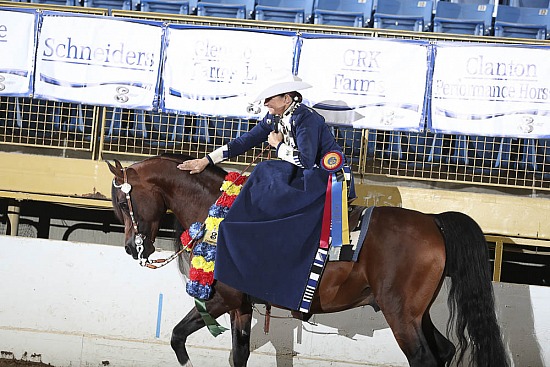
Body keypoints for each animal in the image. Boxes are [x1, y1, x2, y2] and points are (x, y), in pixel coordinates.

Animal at [109, 154, 512, 367]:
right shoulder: (241, 305)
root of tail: (433, 220)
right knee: (443, 350)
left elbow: (179, 337)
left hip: (400, 314)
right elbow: (233, 353)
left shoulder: (223, 299)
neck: (219, 214)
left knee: (424, 359)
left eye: (124, 203)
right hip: (417, 313)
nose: (130, 247)